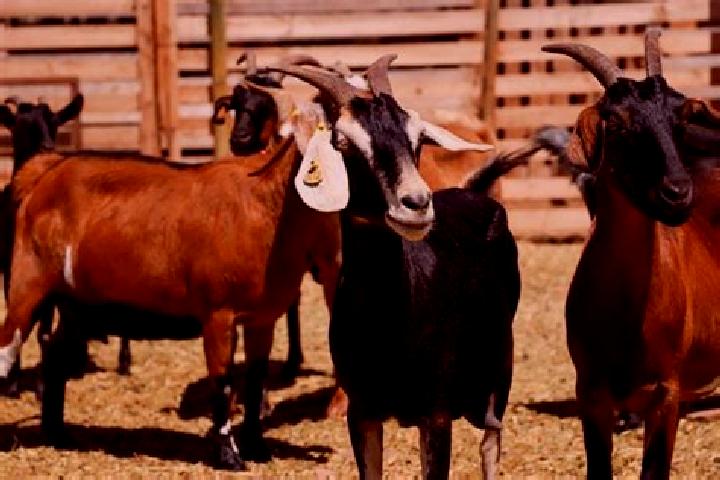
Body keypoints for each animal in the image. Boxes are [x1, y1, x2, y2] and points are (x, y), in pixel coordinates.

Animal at [260, 56, 551, 479]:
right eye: (343, 142)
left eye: (417, 140)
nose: (416, 204)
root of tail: (475, 192)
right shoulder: (363, 412)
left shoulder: (436, 415)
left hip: (500, 367)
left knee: (490, 442)